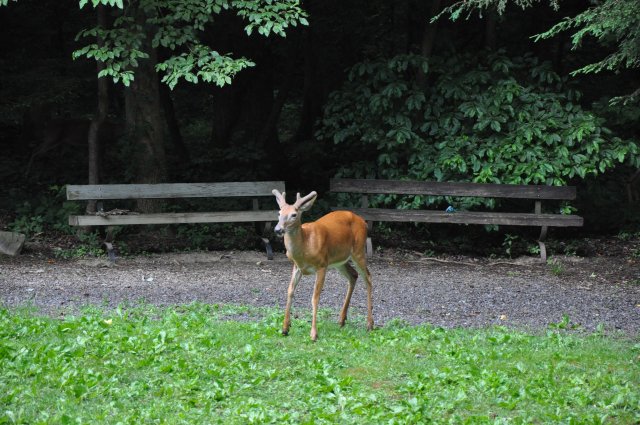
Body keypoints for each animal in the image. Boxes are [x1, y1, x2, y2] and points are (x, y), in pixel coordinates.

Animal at [272, 190, 372, 342]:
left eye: (294, 214)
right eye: (279, 212)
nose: (278, 230)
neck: (305, 246)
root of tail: (363, 222)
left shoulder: (322, 265)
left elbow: (315, 297)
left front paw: (313, 334)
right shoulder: (297, 266)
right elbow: (290, 291)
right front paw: (285, 328)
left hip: (359, 251)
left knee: (368, 278)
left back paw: (370, 324)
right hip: (339, 260)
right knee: (353, 275)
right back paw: (341, 320)